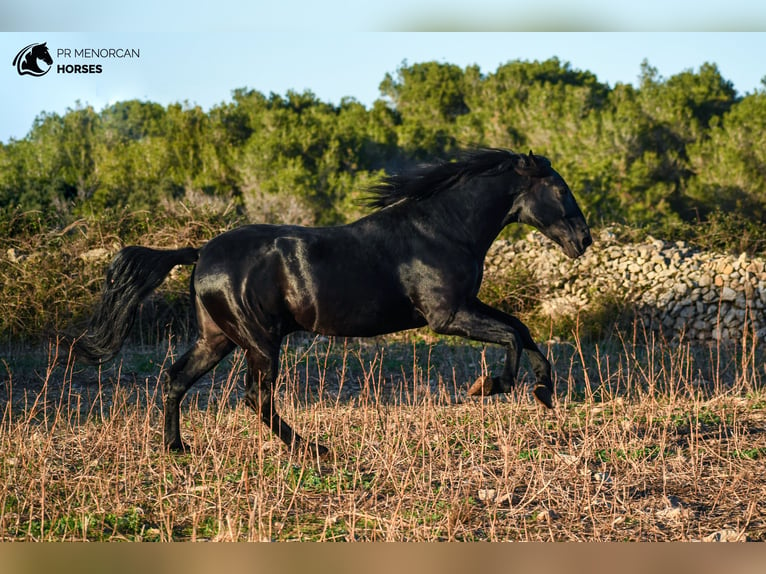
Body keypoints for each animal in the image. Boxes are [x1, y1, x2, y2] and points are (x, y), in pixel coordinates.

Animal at [72, 148, 592, 454]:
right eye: (560, 188)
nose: (583, 240)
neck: (442, 229)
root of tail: (201, 253)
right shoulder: (447, 316)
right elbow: (511, 336)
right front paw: (489, 386)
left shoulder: (466, 307)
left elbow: (522, 330)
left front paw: (544, 392)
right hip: (260, 342)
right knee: (255, 397)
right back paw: (312, 450)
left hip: (218, 338)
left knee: (177, 379)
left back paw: (176, 448)